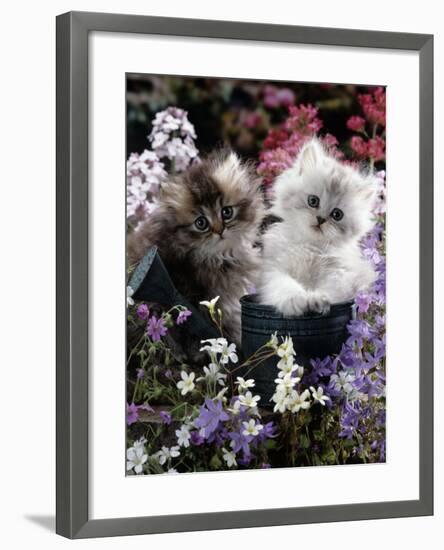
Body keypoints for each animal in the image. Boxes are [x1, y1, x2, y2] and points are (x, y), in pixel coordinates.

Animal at [260, 140, 378, 316]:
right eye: (313, 201)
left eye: (337, 214)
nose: (321, 219)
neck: (310, 246)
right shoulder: (274, 270)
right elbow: (286, 286)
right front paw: (299, 300)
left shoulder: (341, 275)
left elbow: (330, 290)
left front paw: (317, 299)